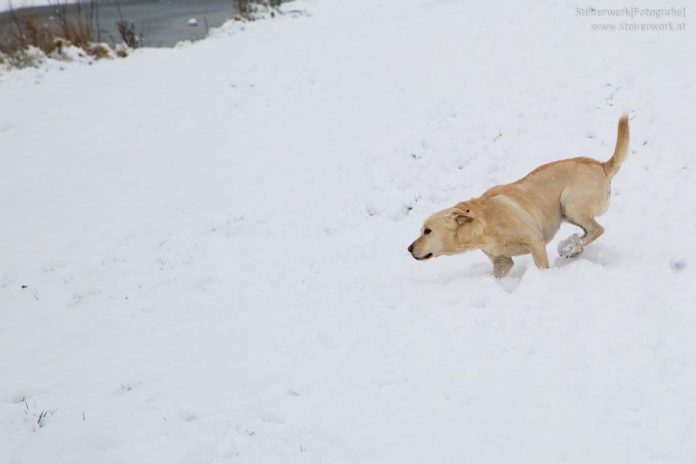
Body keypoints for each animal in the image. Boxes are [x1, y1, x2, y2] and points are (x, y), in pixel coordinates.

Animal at [408, 114, 632, 278]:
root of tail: (602, 165)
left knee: (597, 229)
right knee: (588, 232)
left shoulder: (535, 242)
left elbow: (541, 266)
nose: (409, 248)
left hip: (570, 204)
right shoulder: (502, 261)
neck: (483, 224)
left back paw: (570, 248)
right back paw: (572, 246)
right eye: (421, 230)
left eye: (427, 231)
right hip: (569, 213)